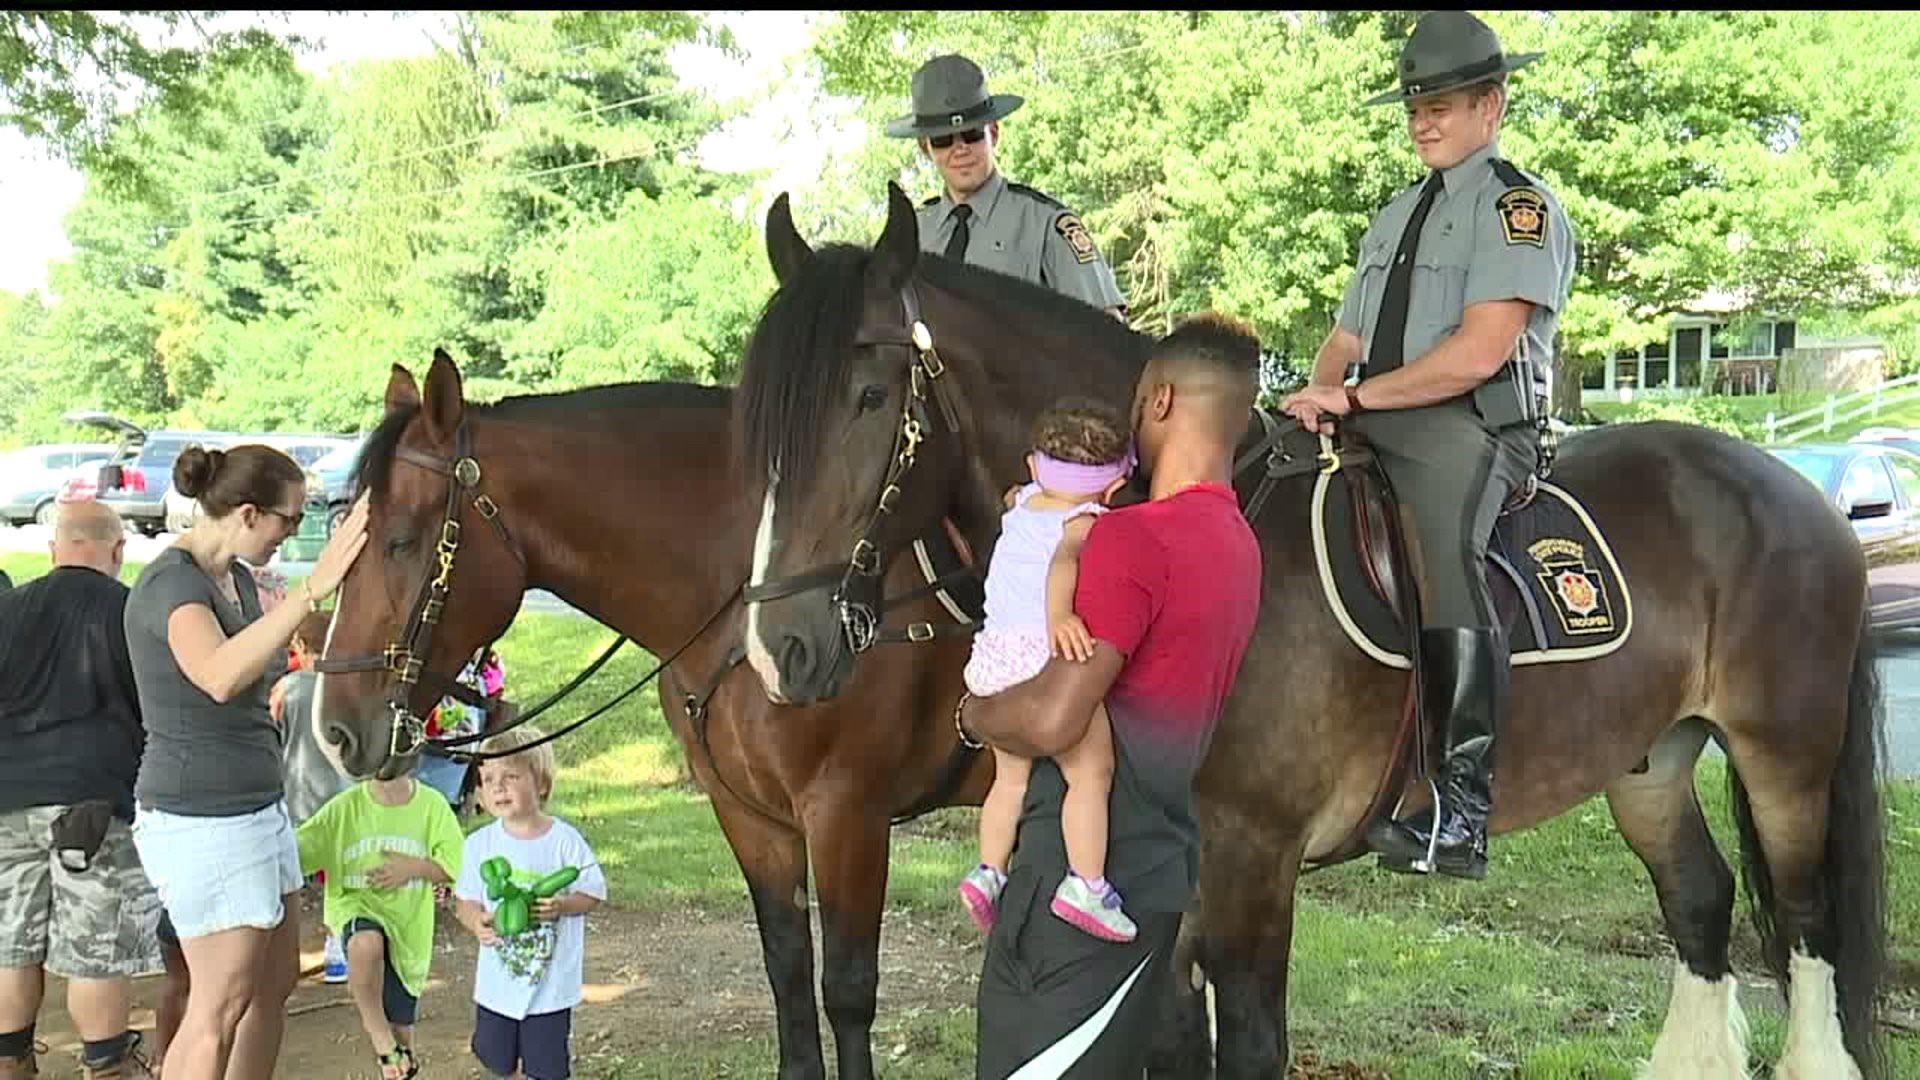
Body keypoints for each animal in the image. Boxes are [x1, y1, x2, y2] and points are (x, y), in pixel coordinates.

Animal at [312, 353, 990, 1076]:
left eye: (401, 541)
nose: (335, 729)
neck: (749, 588)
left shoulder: (848, 814)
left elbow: (848, 990)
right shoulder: (751, 816)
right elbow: (788, 973)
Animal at [729, 180, 1889, 1068]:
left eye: (871, 397)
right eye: (756, 413)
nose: (780, 648)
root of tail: (1793, 488)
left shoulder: (1252, 868)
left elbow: (1248, 1044)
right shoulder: (1167, 879)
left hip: (1784, 757)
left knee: (1804, 929)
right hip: (1649, 758)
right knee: (1700, 904)